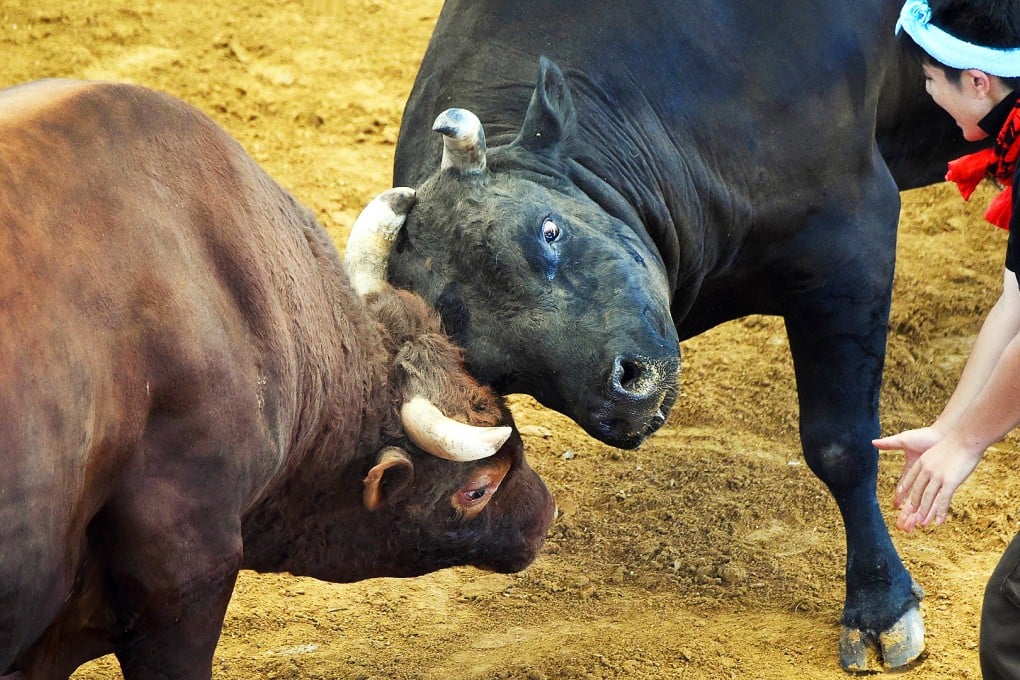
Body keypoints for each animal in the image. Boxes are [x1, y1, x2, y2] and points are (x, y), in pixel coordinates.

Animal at [387, 0, 982, 672]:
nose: (624, 394)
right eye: (497, 367)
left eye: (549, 231)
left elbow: (841, 445)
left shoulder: (853, 235)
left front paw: (880, 605)